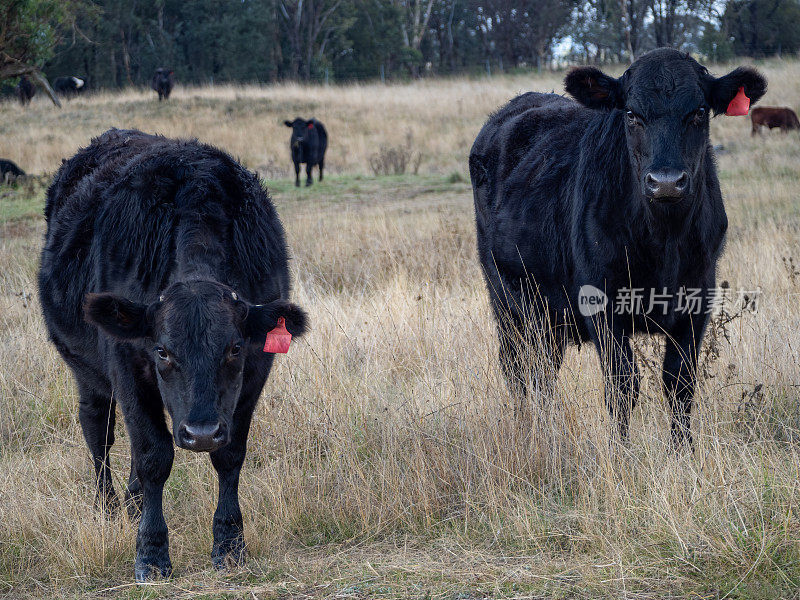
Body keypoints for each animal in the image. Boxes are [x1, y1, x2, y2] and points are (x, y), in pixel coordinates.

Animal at [39, 127, 310, 580]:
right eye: (162, 351)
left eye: (235, 347)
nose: (200, 433)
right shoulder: (128, 366)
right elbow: (154, 455)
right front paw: (151, 553)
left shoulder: (255, 373)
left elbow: (230, 454)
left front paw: (229, 544)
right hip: (88, 373)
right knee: (99, 430)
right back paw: (107, 508)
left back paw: (133, 504)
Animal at [468, 49, 768, 446]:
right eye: (631, 114)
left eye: (699, 111)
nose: (666, 182)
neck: (664, 243)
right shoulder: (602, 306)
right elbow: (622, 386)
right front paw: (621, 452)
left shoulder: (697, 301)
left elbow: (680, 384)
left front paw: (682, 451)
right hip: (506, 301)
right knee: (521, 370)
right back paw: (530, 431)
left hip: (547, 316)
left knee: (545, 369)